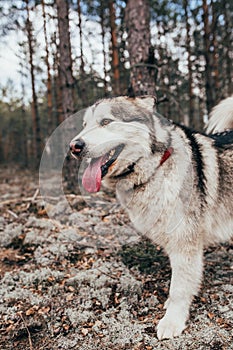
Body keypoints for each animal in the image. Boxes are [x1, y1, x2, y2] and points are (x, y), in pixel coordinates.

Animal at [69, 95, 233, 340]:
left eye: (106, 121)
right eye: (85, 125)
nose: (74, 146)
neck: (155, 169)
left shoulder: (185, 245)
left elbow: (179, 288)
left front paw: (172, 321)